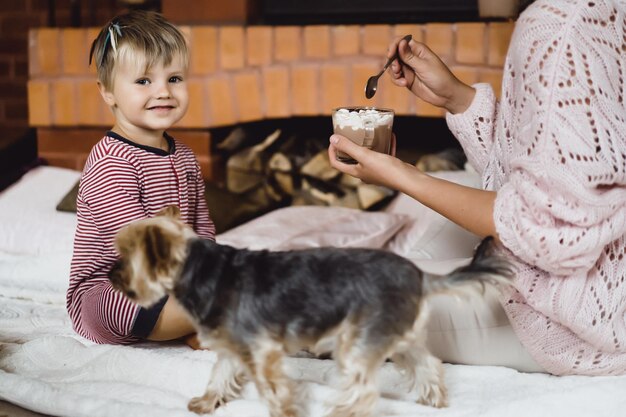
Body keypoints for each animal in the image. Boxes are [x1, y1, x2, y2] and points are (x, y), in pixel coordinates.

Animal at [109, 206, 510, 416]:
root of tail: (420, 275)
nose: (110, 274)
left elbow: (274, 390)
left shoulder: (262, 351)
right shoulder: (233, 345)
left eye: (126, 256)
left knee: (363, 390)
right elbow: (219, 374)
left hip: (359, 341)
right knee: (427, 364)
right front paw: (207, 402)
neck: (199, 268)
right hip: (395, 334)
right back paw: (434, 400)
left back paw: (341, 411)